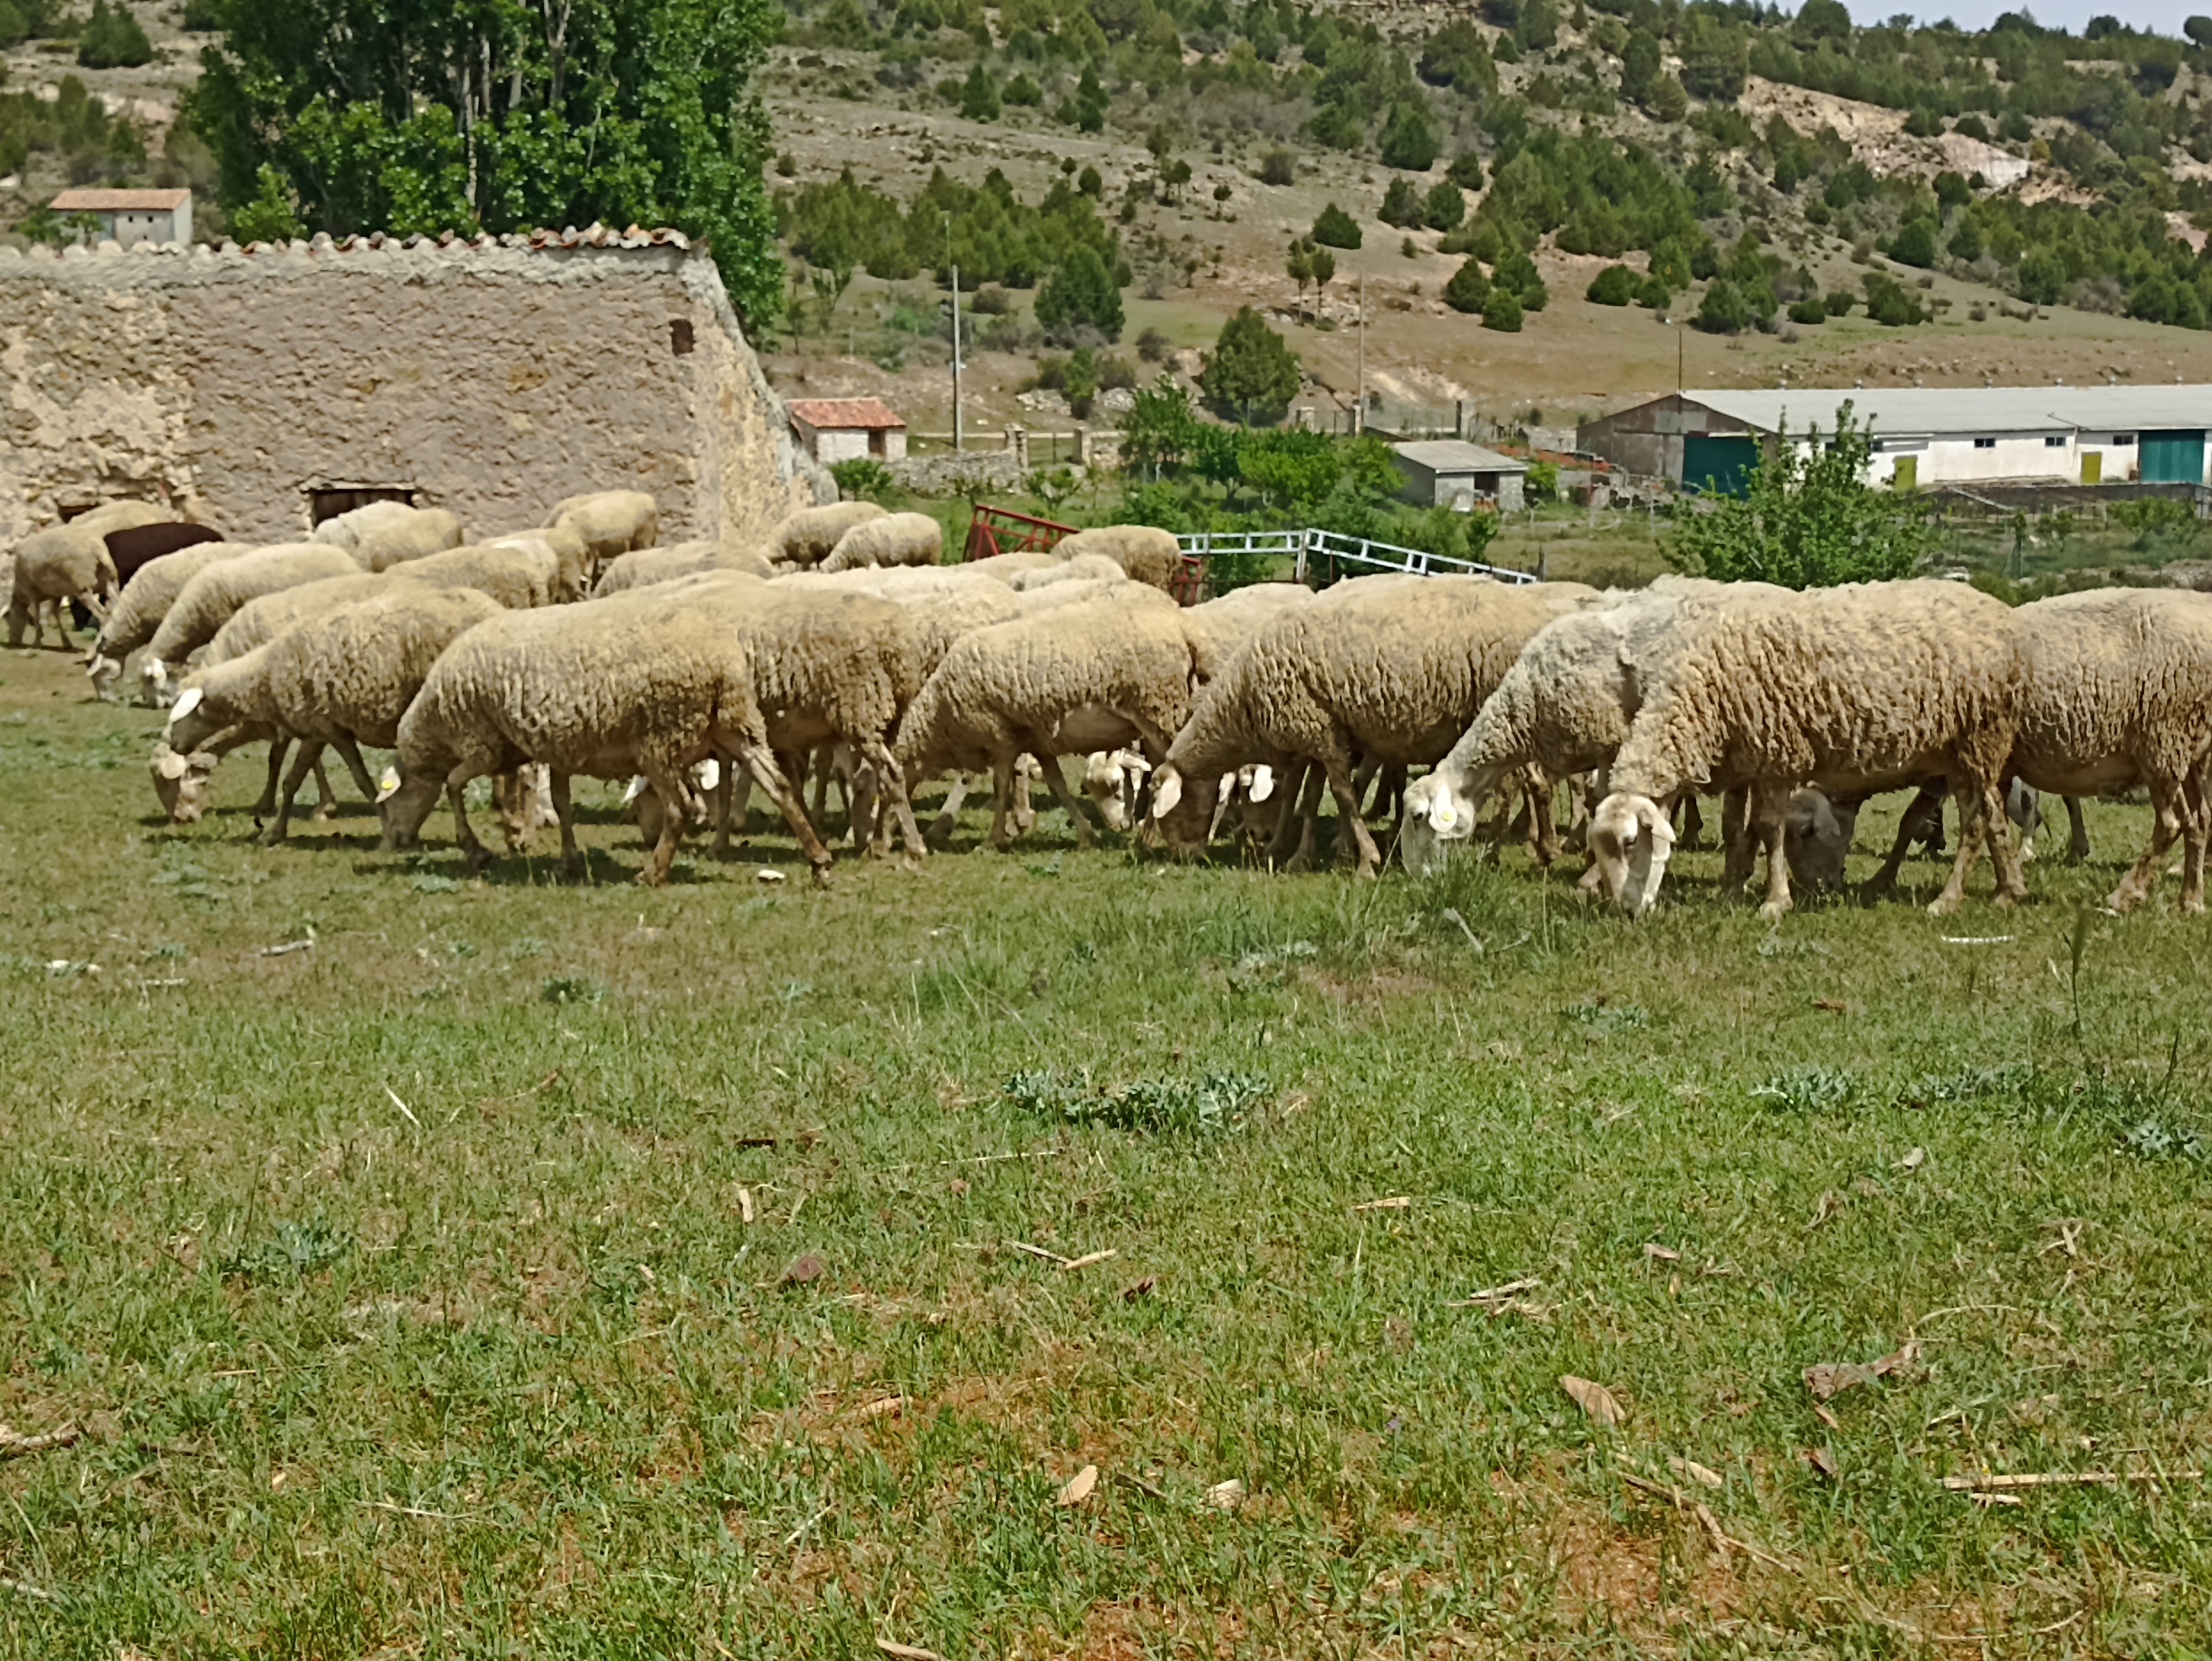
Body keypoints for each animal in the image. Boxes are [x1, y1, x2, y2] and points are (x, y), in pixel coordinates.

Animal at [379, 583, 828, 885]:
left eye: (393, 799)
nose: (395, 841)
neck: (434, 720)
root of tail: (720, 662)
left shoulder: (481, 743)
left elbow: (454, 786)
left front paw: (478, 850)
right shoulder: (557, 750)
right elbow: (562, 804)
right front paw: (567, 861)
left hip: (661, 737)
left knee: (680, 807)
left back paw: (652, 873)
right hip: (737, 722)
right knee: (780, 786)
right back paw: (820, 862)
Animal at [895, 589, 1216, 850]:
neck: (940, 712)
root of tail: (1184, 626)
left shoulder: (999, 735)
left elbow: (1000, 785)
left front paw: (992, 840)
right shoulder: (1037, 742)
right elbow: (1057, 785)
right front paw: (1086, 836)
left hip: (1159, 707)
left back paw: (1156, 838)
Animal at [1149, 578, 1601, 876]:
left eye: (1163, 802)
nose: (1180, 856)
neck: (1241, 703)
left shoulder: (1318, 732)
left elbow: (1344, 797)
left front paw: (1365, 859)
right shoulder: (1321, 729)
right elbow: (1308, 798)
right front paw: (1294, 853)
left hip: (1502, 715)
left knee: (1524, 785)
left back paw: (1523, 850)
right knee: (1530, 783)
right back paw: (1532, 848)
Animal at [1586, 579, 2029, 921]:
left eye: (1630, 843)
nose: (1626, 912)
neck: (1702, 695)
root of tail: (1998, 611)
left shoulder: (1779, 757)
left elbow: (1769, 829)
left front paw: (1775, 902)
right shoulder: (1744, 763)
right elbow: (1736, 829)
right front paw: (1731, 890)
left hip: (1979, 737)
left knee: (1974, 823)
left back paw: (1947, 901)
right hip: (1965, 751)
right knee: (1993, 815)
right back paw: (2008, 891)